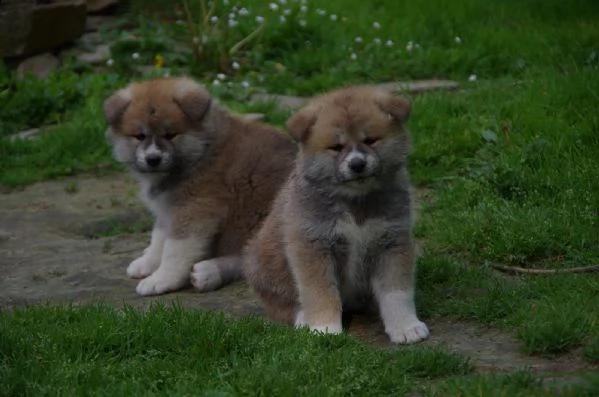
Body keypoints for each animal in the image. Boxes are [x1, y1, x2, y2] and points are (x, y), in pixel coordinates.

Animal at [106, 76, 298, 294]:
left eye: (171, 134)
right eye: (139, 136)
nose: (153, 159)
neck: (200, 153)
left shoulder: (197, 209)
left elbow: (174, 249)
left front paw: (162, 279)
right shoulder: (168, 210)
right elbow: (159, 238)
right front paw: (148, 262)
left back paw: (210, 271)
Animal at [244, 84, 432, 344]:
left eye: (370, 140)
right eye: (336, 147)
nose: (357, 164)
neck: (355, 201)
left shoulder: (392, 241)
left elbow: (397, 292)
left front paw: (405, 326)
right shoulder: (313, 245)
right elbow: (320, 291)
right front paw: (324, 328)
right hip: (262, 266)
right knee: (283, 304)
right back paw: (303, 319)